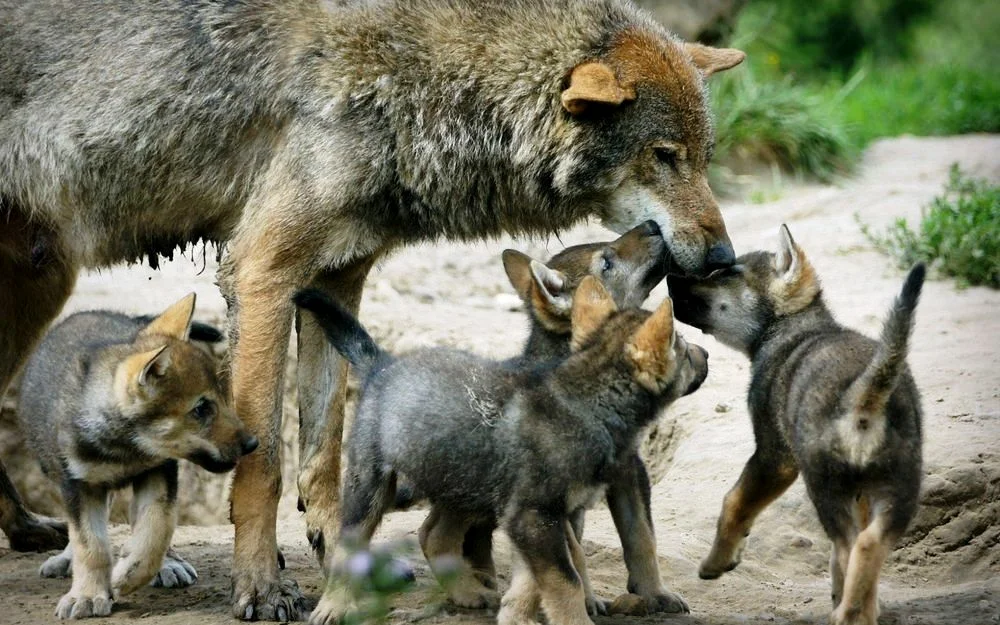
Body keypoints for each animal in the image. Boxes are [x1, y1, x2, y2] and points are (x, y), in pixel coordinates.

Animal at [0, 0, 744, 616]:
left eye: (704, 157)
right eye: (663, 156)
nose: (721, 256)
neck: (411, 73)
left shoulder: (334, 282)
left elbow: (324, 456)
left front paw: (342, 568)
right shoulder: (264, 274)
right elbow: (264, 464)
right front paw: (262, 588)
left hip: (40, 284)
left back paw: (31, 531)